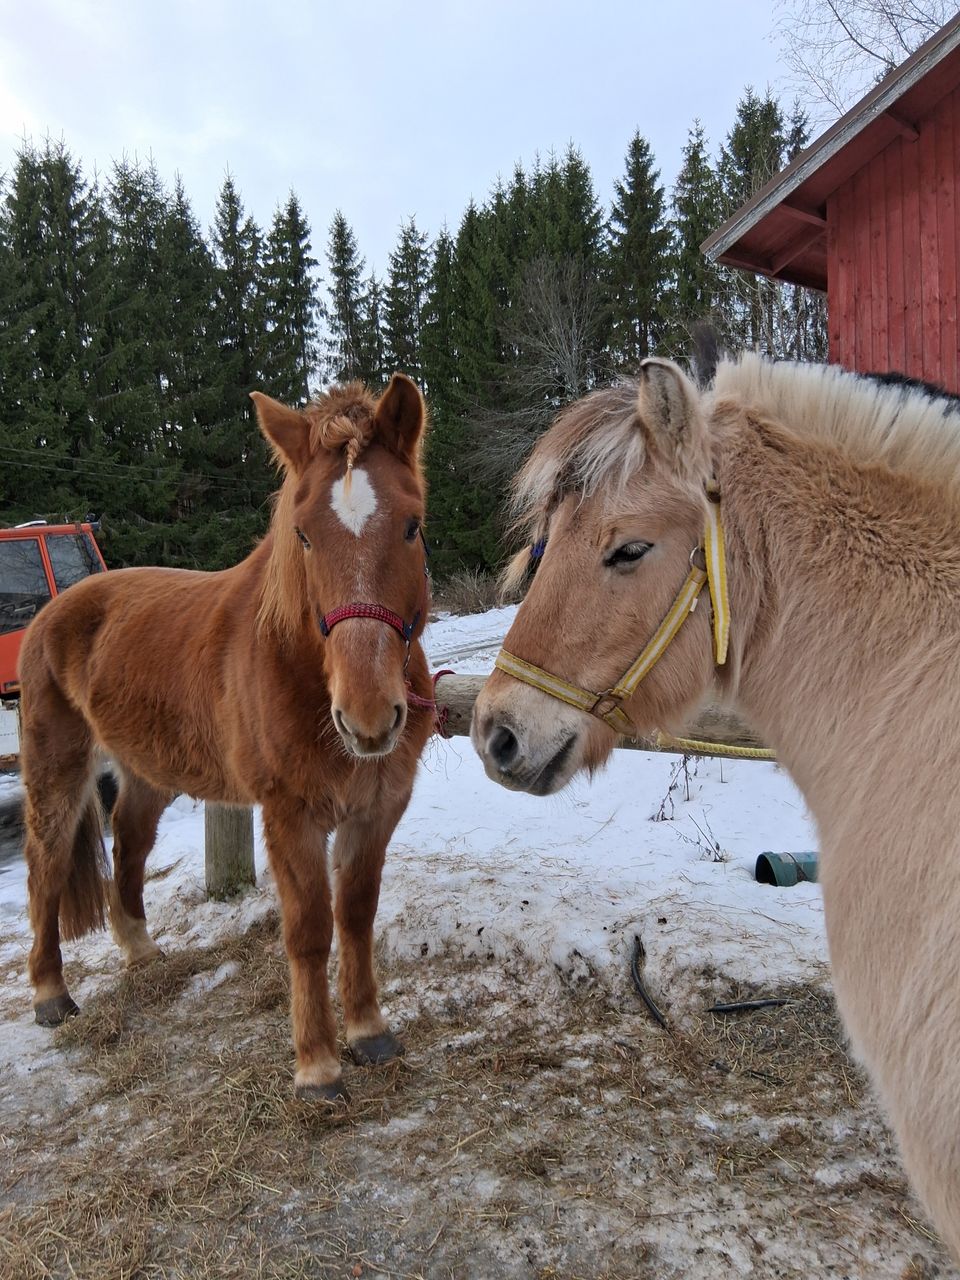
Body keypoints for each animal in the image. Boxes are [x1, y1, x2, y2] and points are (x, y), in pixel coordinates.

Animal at [20, 373, 435, 1105]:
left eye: (411, 524)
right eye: (302, 535)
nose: (366, 717)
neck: (298, 666)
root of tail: (54, 611)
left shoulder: (377, 809)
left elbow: (356, 915)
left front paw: (369, 1033)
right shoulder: (290, 815)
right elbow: (309, 930)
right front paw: (318, 1066)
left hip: (147, 772)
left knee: (129, 844)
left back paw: (141, 951)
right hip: (56, 770)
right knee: (45, 865)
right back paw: (51, 995)